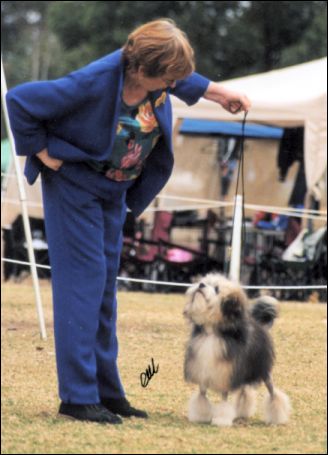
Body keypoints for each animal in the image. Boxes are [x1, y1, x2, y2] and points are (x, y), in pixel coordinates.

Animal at [183, 274, 290, 428]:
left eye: (217, 289)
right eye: (204, 282)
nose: (201, 285)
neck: (212, 332)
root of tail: (261, 326)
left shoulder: (224, 373)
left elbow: (223, 400)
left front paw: (221, 420)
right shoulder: (203, 370)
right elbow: (202, 395)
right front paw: (200, 415)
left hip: (263, 371)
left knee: (273, 393)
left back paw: (277, 418)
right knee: (244, 390)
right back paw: (243, 412)